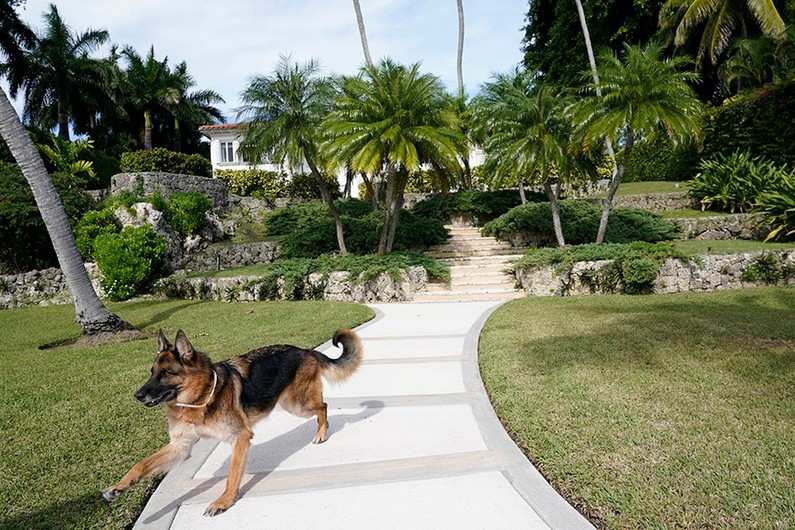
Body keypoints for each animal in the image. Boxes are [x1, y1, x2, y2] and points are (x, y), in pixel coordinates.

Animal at [101, 328, 362, 512]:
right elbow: (141, 464)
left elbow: (232, 474)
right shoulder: (180, 447)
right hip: (293, 404)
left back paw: (322, 432)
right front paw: (119, 487)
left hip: (298, 405)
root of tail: (306, 350)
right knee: (323, 406)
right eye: (151, 372)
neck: (201, 396)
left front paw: (224, 501)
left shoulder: (240, 438)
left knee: (324, 406)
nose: (137, 395)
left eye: (165, 374)